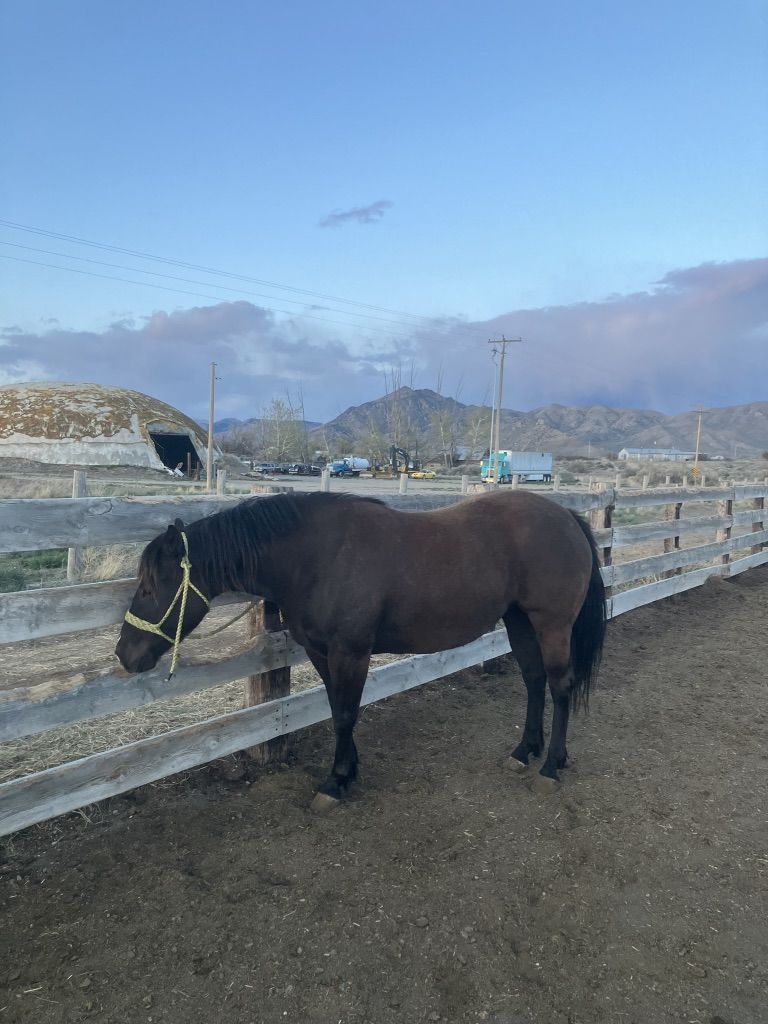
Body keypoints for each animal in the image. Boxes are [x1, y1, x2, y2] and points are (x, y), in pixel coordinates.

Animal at [115, 490, 606, 810]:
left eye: (150, 586)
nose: (124, 655)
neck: (315, 556)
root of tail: (565, 515)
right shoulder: (320, 651)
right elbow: (337, 709)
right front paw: (348, 771)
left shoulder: (350, 651)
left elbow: (347, 714)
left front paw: (334, 784)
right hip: (519, 620)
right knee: (534, 680)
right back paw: (524, 752)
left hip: (551, 625)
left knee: (560, 686)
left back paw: (551, 766)